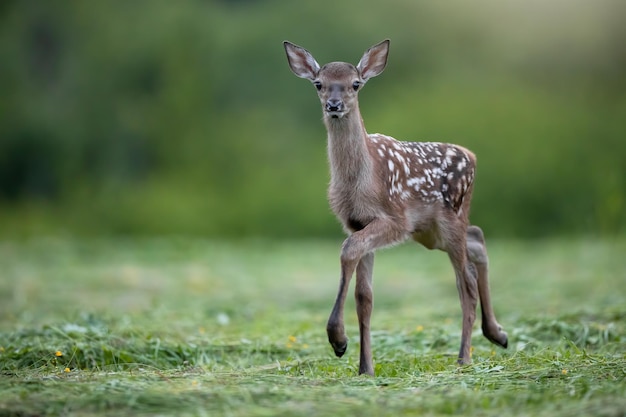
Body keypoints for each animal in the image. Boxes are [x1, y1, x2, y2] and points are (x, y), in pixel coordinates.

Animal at [282, 39, 508, 376]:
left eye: (355, 84)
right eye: (318, 84)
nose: (334, 105)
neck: (362, 182)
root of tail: (472, 156)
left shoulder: (395, 219)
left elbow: (348, 251)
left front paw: (338, 340)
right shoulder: (357, 222)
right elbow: (365, 296)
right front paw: (365, 368)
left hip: (449, 218)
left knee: (465, 282)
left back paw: (464, 357)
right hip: (430, 232)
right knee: (478, 238)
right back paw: (497, 334)